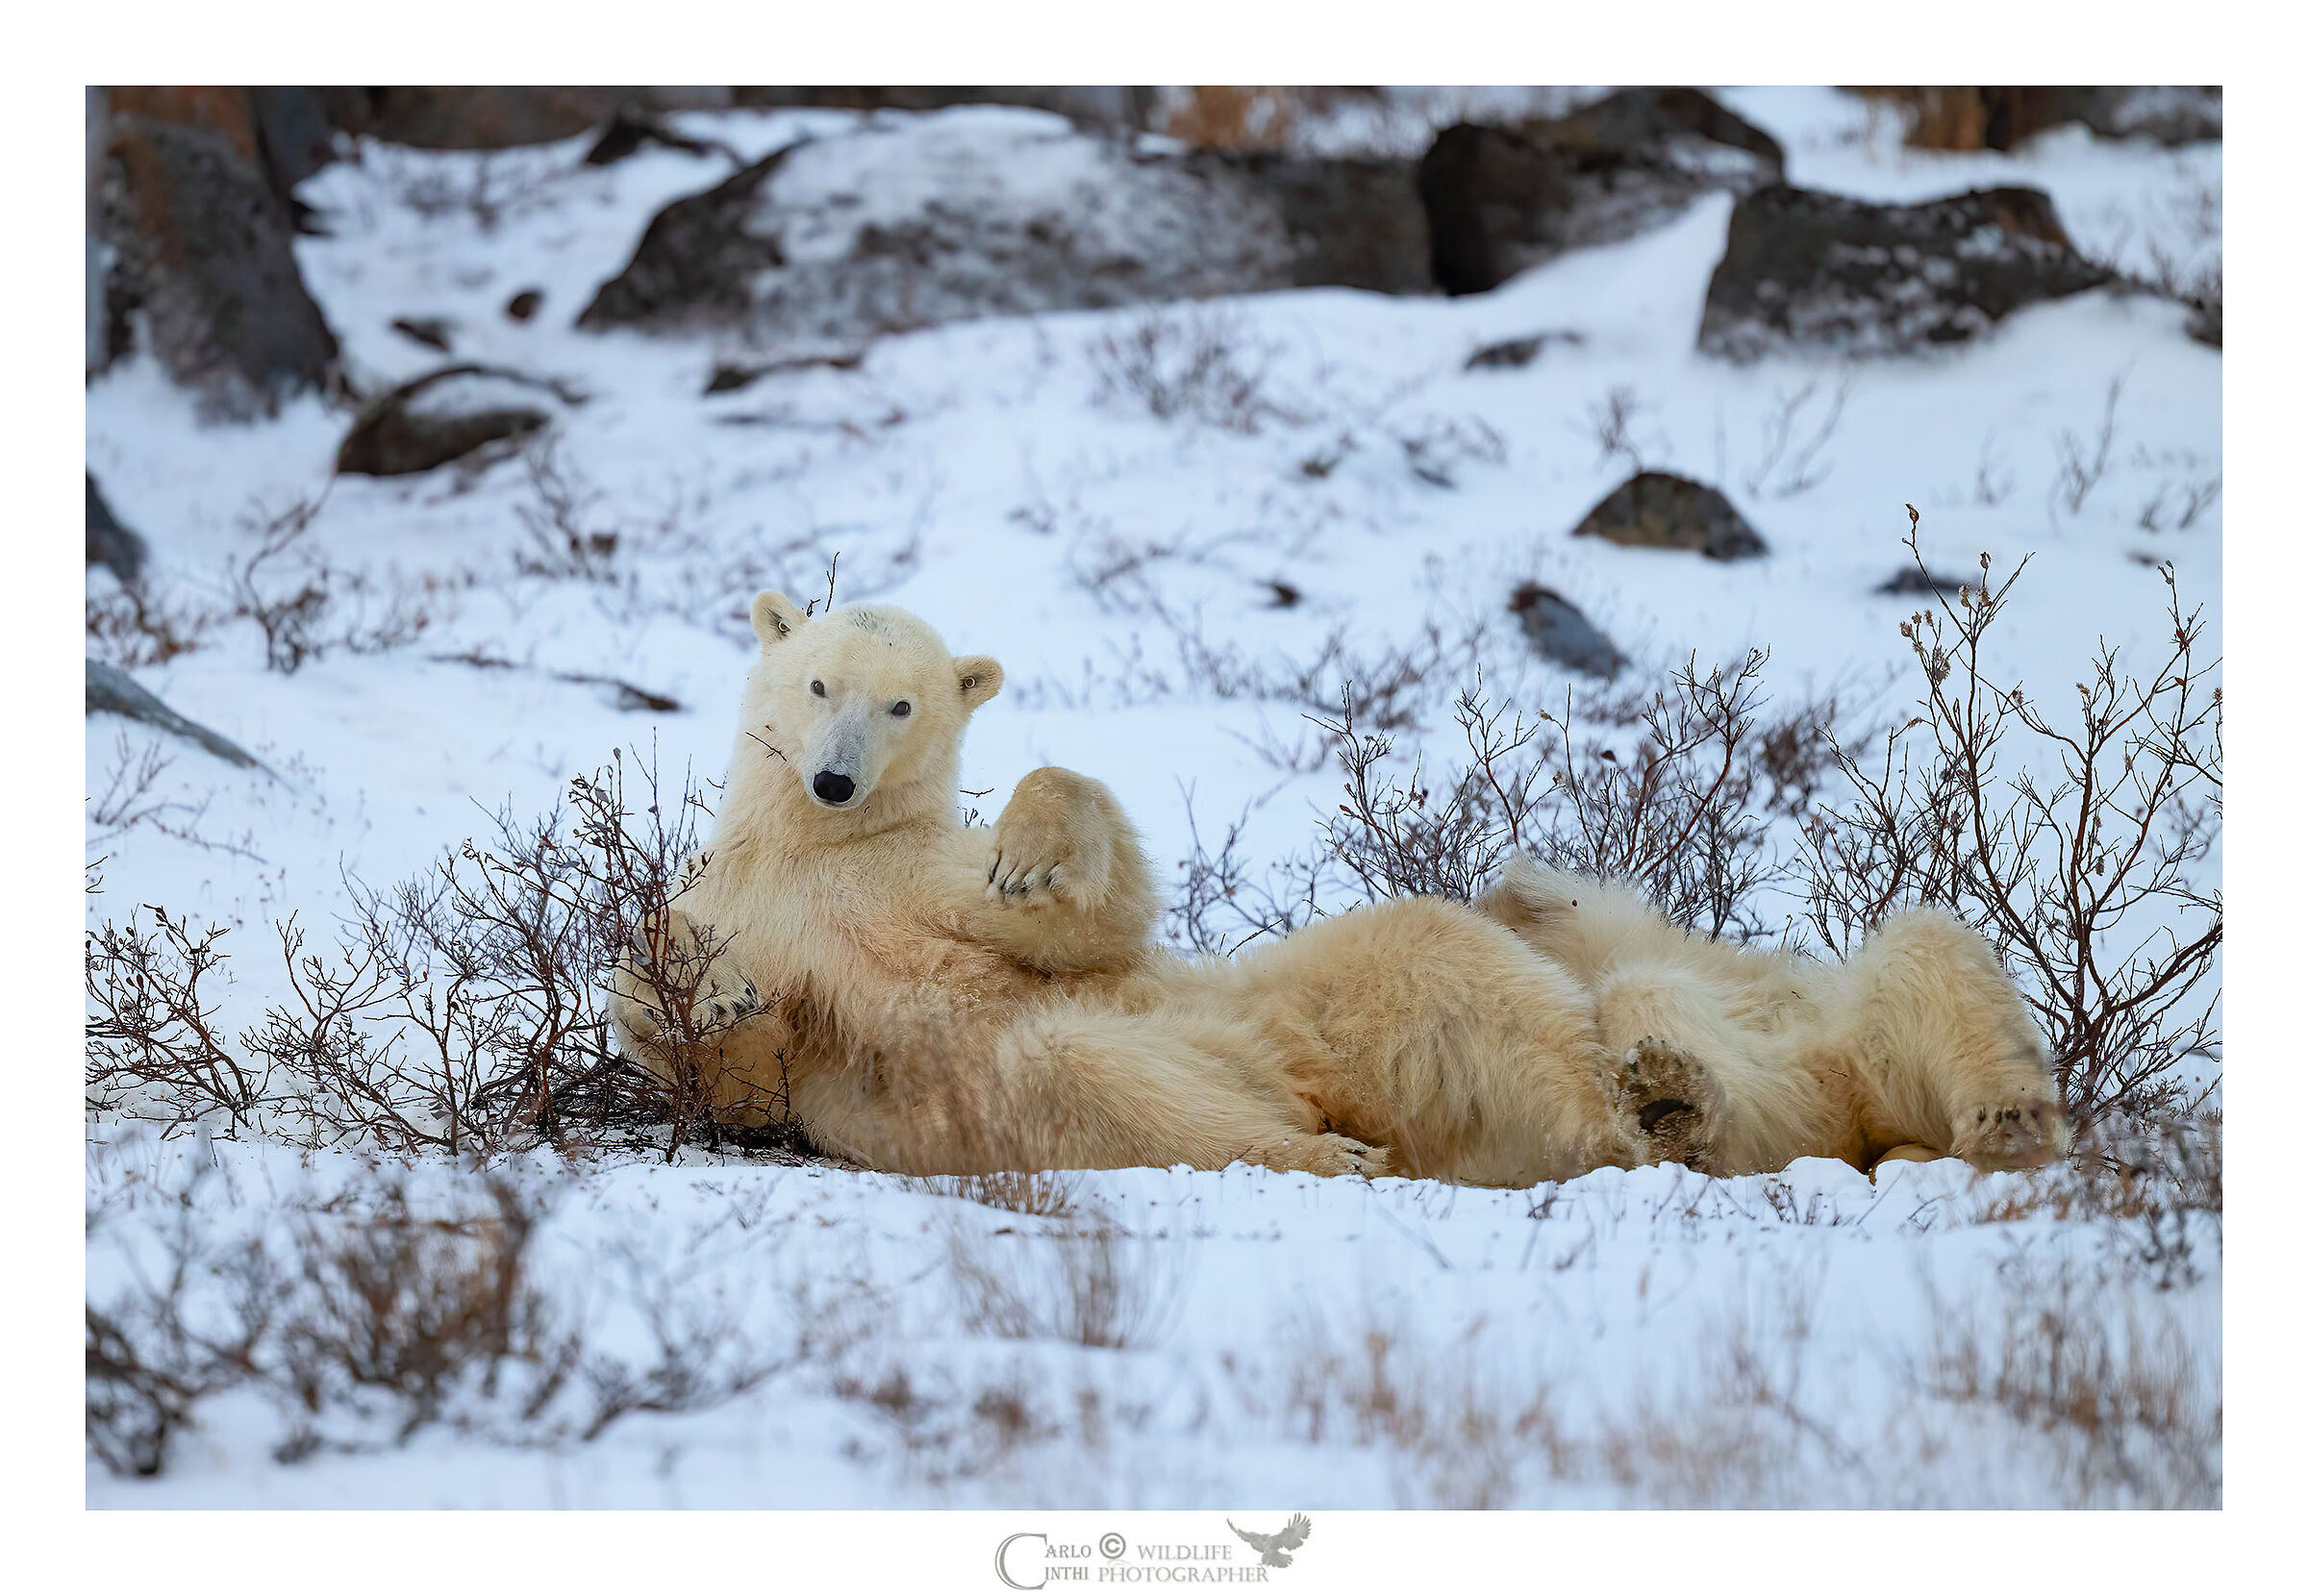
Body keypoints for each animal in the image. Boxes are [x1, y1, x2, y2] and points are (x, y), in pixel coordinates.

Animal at [609, 592, 1700, 1187]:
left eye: (902, 704)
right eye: (819, 684)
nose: (835, 779)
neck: (817, 844)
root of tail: (1300, 1080)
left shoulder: (924, 869)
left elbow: (1097, 920)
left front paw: (1032, 851)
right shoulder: (762, 909)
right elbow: (741, 1073)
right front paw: (711, 987)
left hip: (1290, 995)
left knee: (1443, 957)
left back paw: (1652, 1108)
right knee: (1091, 1078)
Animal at [1473, 857, 2073, 1176]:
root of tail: (1855, 1138)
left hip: (1855, 1050)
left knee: (1925, 946)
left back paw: (2010, 1121)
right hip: (1820, 1103)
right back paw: (1676, 1110)